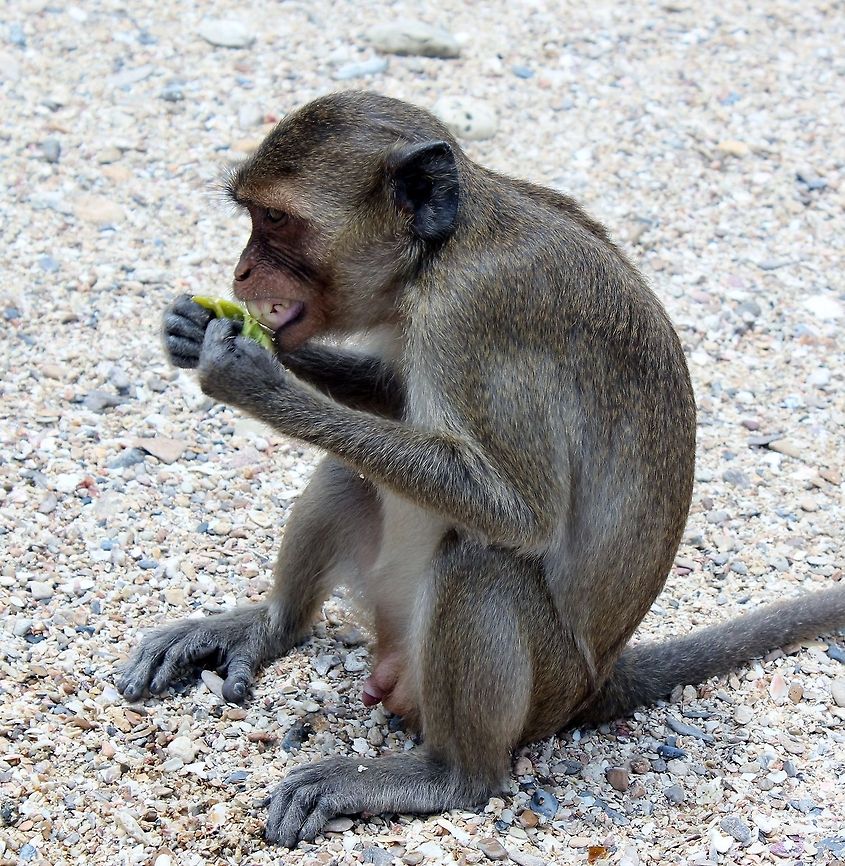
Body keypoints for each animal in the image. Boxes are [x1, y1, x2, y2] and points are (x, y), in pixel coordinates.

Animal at [117, 91, 845, 848]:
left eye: (277, 221)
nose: (241, 274)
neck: (437, 255)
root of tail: (599, 681)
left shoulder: (479, 316)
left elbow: (518, 513)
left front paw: (255, 379)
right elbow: (397, 396)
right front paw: (196, 329)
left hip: (544, 686)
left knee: (481, 561)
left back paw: (446, 775)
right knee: (353, 472)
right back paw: (270, 628)